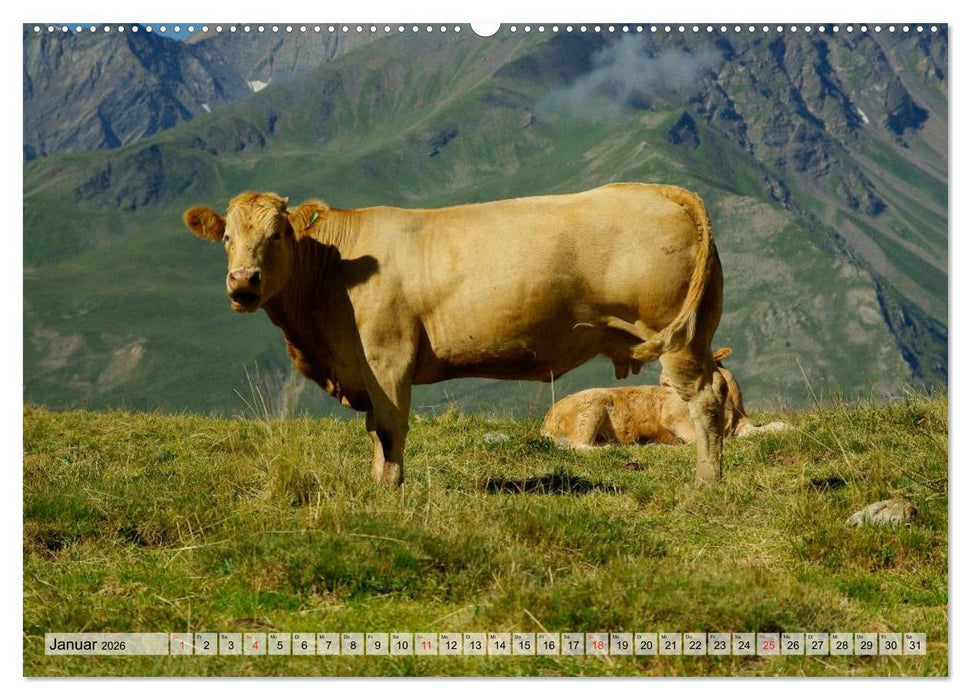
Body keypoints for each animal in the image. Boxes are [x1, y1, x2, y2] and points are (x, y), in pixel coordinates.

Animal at [182, 183, 726, 485]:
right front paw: (375, 481)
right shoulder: (363, 367)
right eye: (227, 237)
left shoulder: (387, 356)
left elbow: (390, 426)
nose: (243, 282)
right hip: (698, 332)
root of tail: (664, 190)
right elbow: (373, 430)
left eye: (277, 235)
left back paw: (706, 481)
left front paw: (390, 489)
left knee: (703, 401)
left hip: (675, 337)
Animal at [541, 347, 790, 449]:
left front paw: (786, 427)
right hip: (591, 410)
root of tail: (547, 420)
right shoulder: (680, 421)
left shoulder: (742, 424)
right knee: (578, 445)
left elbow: (771, 426)